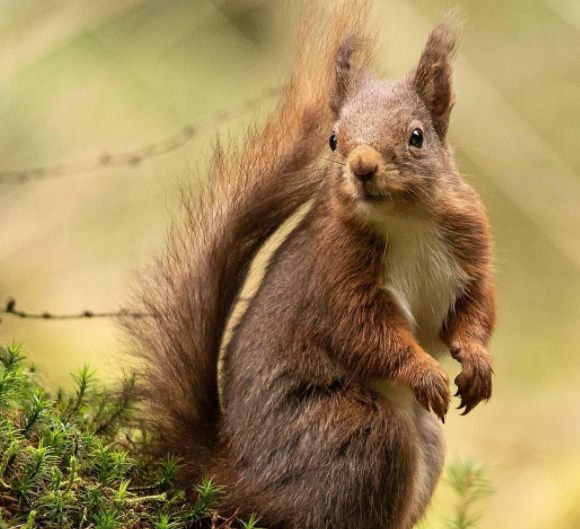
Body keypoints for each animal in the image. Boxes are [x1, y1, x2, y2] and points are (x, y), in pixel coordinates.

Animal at [124, 2, 496, 524]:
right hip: (357, 434)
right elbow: (363, 333)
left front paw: (478, 363)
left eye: (416, 137)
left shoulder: (471, 248)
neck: (404, 219)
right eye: (334, 139)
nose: (362, 166)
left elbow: (476, 310)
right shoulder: (334, 272)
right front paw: (424, 373)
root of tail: (233, 478)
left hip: (423, 438)